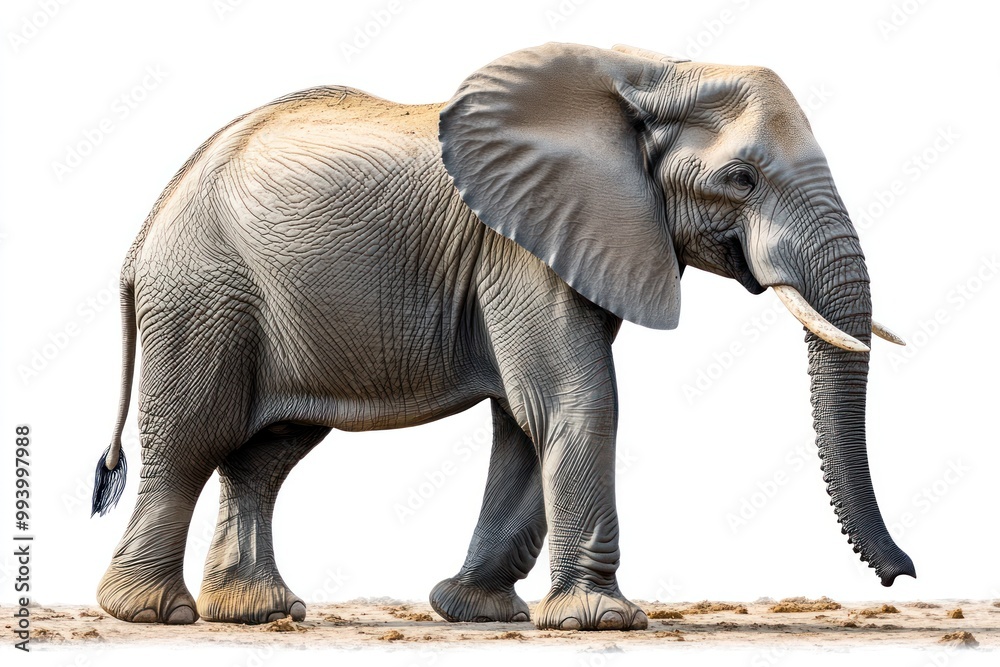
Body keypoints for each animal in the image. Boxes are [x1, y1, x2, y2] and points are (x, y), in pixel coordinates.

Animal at [91, 42, 914, 631]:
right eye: (741, 179)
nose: (901, 573)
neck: (653, 72)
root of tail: (140, 236)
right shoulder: (520, 246)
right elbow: (574, 401)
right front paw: (603, 621)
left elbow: (527, 419)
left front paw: (477, 613)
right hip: (203, 295)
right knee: (191, 438)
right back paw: (152, 613)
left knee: (267, 454)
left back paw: (258, 612)